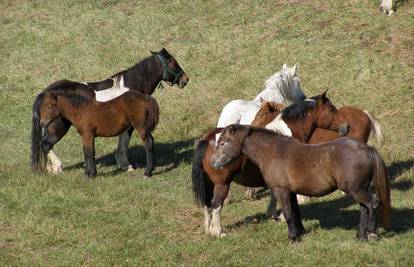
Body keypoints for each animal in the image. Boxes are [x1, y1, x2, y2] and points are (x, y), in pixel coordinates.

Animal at [32, 47, 189, 175]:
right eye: (173, 62)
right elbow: (124, 141)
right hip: (58, 126)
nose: (185, 79)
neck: (131, 85)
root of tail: (46, 91)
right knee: (46, 144)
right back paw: (58, 167)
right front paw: (126, 165)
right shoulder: (129, 125)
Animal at [192, 93, 338, 238]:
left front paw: (273, 214)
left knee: (207, 205)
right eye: (331, 109)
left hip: (209, 183)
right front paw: (283, 216)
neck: (285, 133)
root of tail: (208, 139)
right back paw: (218, 231)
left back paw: (208, 228)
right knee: (216, 205)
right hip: (222, 184)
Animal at [210, 125, 392, 243]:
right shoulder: (291, 192)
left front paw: (293, 238)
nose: (213, 163)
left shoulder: (281, 191)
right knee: (364, 208)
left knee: (373, 203)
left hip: (356, 189)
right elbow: (295, 212)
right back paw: (360, 237)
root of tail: (366, 148)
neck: (272, 152)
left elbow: (288, 214)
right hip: (359, 189)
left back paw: (371, 233)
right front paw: (300, 233)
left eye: (223, 143)